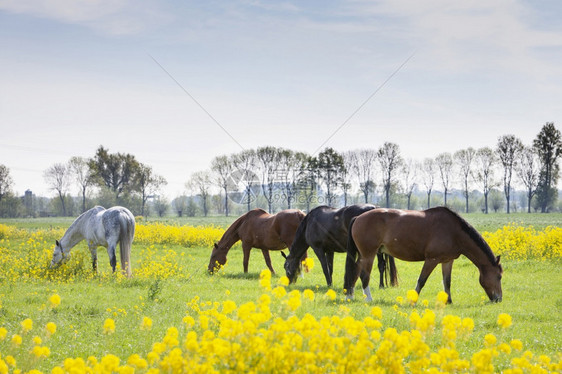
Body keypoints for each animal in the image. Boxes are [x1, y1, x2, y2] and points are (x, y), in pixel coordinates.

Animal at [344, 207, 500, 304]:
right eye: (499, 276)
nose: (498, 299)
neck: (453, 232)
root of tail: (358, 217)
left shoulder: (447, 261)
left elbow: (447, 282)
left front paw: (448, 301)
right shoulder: (432, 260)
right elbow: (422, 280)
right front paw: (413, 300)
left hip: (363, 255)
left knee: (355, 270)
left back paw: (350, 295)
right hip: (369, 254)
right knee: (364, 275)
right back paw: (368, 298)